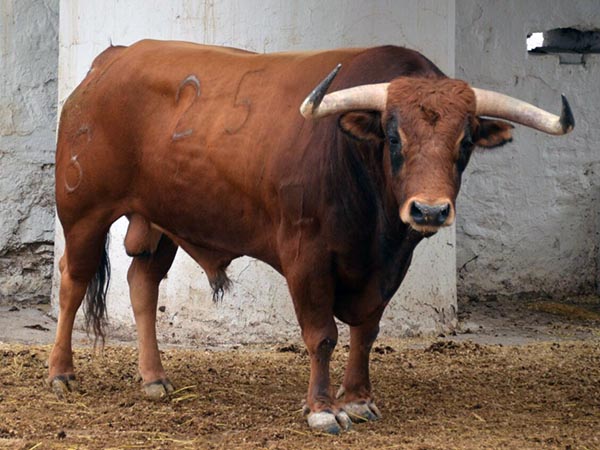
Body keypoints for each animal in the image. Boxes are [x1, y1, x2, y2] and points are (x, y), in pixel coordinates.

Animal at [49, 40, 576, 434]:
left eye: (464, 142)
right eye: (393, 136)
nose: (429, 209)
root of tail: (112, 59)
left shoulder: (390, 266)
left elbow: (366, 331)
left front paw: (359, 399)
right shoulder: (306, 257)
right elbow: (322, 335)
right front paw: (323, 409)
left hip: (163, 222)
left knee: (142, 285)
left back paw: (155, 378)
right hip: (83, 212)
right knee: (73, 282)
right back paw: (62, 373)